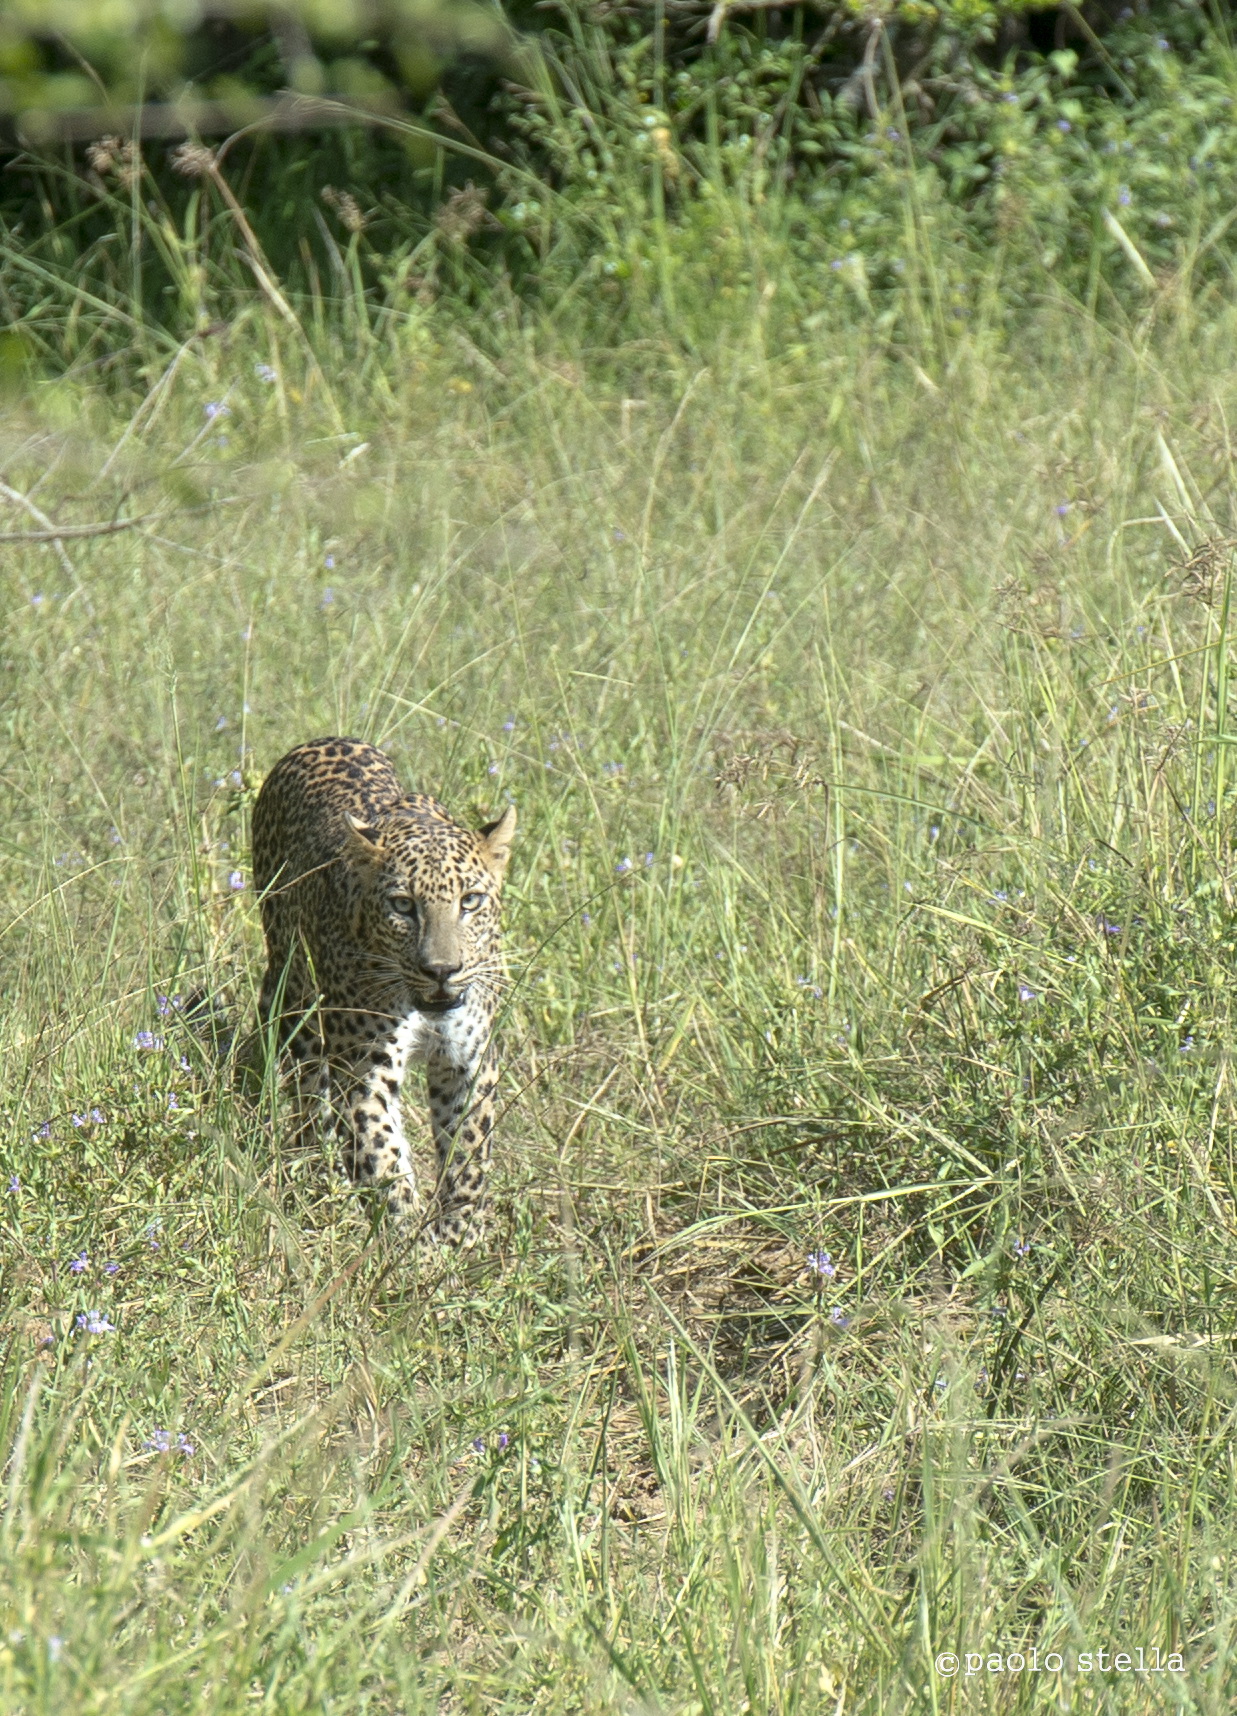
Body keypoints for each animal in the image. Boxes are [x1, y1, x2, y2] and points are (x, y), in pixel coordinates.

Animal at [250, 734, 514, 1249]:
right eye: (403, 905)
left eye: (470, 901)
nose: (442, 970)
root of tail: (325, 738)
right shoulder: (364, 1070)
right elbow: (381, 1154)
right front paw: (412, 1244)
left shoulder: (469, 1061)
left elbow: (468, 1155)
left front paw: (458, 1235)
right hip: (295, 994)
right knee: (311, 1099)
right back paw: (323, 1178)